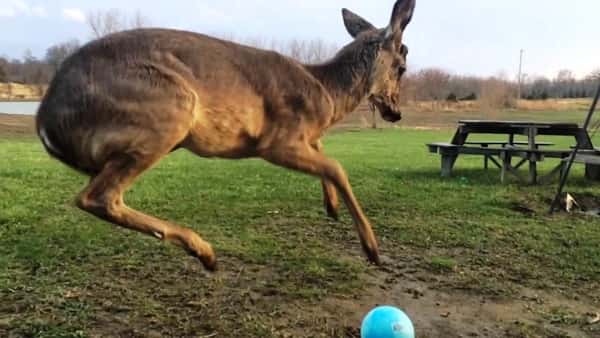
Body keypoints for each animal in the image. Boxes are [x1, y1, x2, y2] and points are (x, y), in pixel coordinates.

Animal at [35, 0, 414, 270]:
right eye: (402, 66)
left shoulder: (300, 137)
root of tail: (44, 121)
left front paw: (331, 207)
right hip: (167, 111)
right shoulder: (275, 139)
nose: (395, 113)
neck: (327, 94)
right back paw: (205, 252)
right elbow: (336, 166)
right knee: (98, 196)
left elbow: (324, 152)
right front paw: (372, 249)